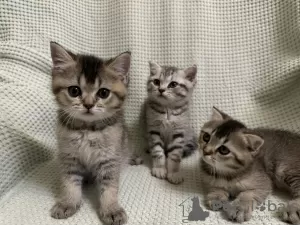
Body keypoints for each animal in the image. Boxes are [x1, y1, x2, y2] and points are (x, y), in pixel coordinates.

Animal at [49, 41, 131, 224]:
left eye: (103, 93)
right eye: (74, 91)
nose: (88, 104)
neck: (87, 129)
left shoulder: (110, 158)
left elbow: (109, 187)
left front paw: (111, 209)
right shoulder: (69, 157)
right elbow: (70, 183)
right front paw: (68, 203)